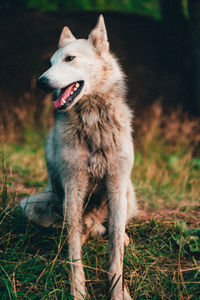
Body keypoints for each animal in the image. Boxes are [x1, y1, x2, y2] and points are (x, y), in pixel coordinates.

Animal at [21, 15, 138, 298]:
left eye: (70, 59)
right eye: (51, 62)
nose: (41, 82)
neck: (94, 123)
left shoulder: (116, 185)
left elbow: (115, 252)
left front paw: (118, 291)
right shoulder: (73, 187)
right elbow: (74, 252)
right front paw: (78, 291)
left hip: (128, 193)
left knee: (114, 227)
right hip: (32, 204)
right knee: (81, 229)